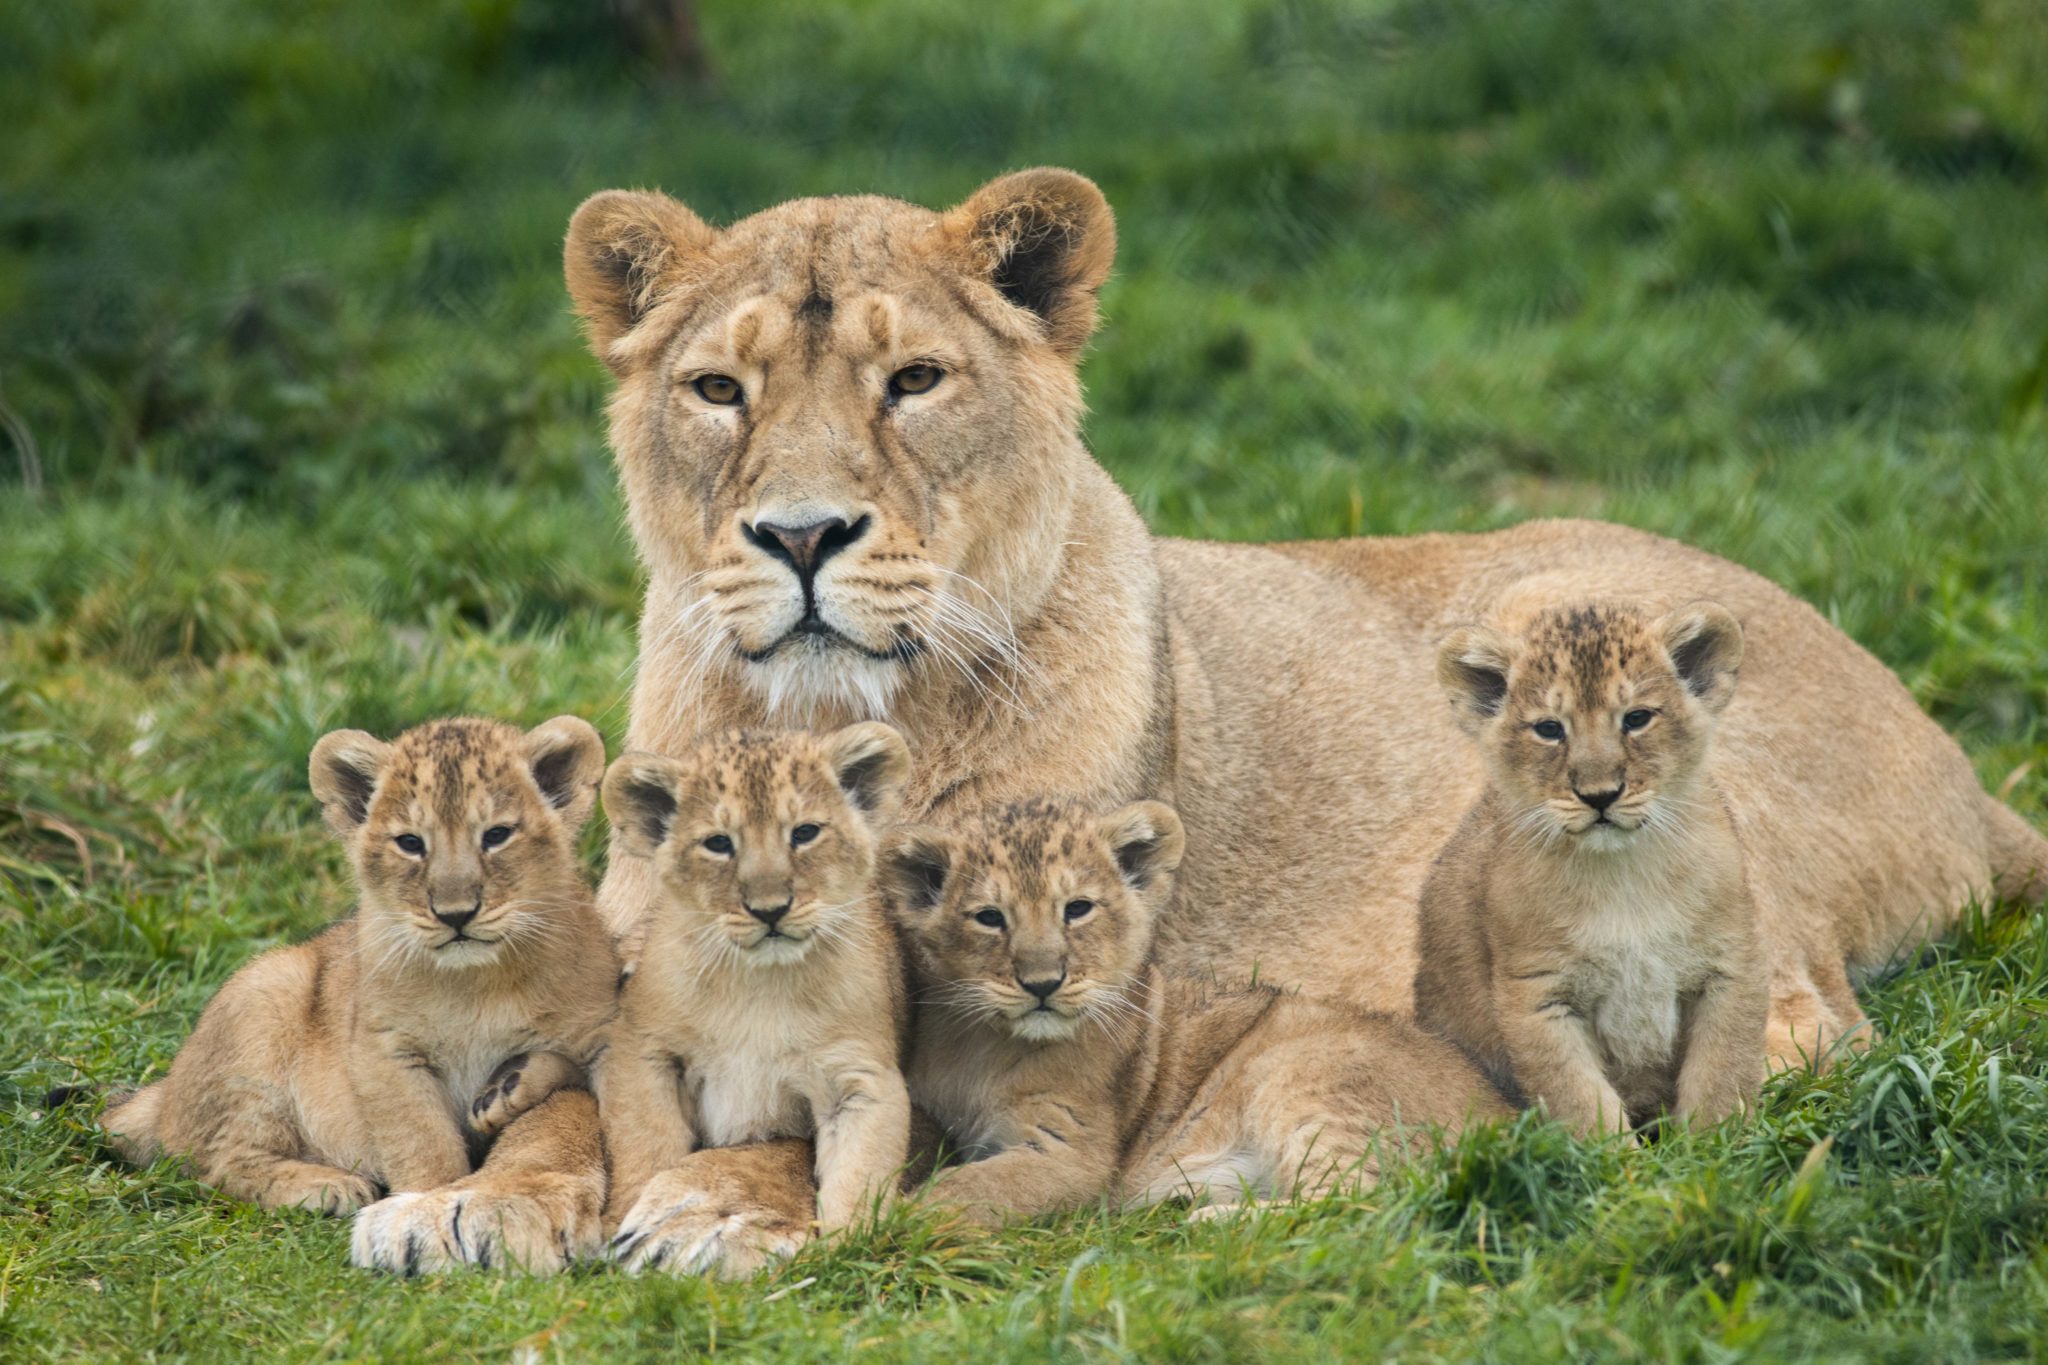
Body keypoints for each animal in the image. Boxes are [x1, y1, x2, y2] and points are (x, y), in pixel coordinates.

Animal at [471, 167, 2023, 1268]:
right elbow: (580, 1085)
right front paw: (485, 1199)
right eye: (716, 391)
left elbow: (843, 1111)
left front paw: (717, 1206)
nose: (799, 535)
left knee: (1786, 1034)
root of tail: (1956, 757)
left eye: (911, 381)